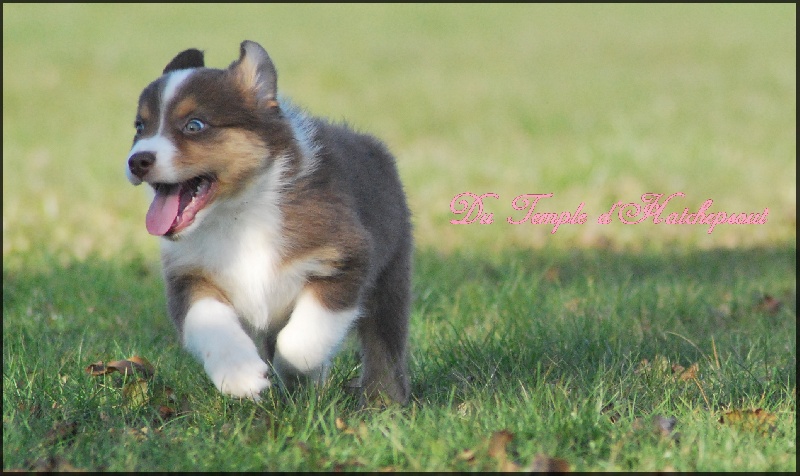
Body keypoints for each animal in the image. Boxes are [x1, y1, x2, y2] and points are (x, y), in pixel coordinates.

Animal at [126, 41, 412, 406]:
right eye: (139, 127)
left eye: (194, 126)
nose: (137, 161)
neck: (241, 213)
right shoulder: (188, 277)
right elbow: (211, 322)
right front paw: (241, 377)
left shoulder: (345, 259)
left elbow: (300, 341)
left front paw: (295, 373)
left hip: (391, 279)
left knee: (384, 346)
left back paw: (384, 403)